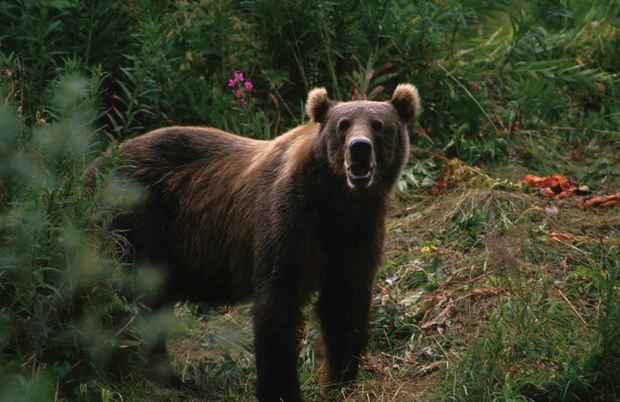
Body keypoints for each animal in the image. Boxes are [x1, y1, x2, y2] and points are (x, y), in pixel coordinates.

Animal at [88, 83, 422, 400]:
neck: (337, 201)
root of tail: (96, 164)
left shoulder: (356, 234)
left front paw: (340, 381)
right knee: (122, 299)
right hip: (134, 221)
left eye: (378, 125)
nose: (359, 149)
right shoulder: (289, 221)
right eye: (343, 124)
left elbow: (345, 302)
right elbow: (278, 304)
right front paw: (282, 389)